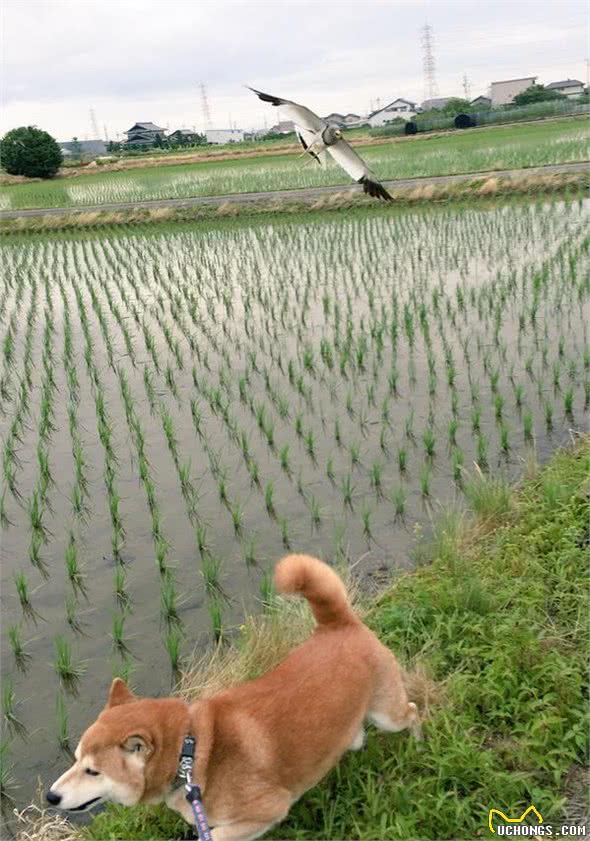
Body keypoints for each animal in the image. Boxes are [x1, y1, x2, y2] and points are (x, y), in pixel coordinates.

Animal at [48, 556, 424, 836]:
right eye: (75, 759)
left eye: (93, 771)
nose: (51, 796)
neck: (190, 752)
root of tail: (337, 624)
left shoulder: (267, 809)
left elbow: (217, 835)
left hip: (387, 714)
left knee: (412, 710)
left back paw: (419, 742)